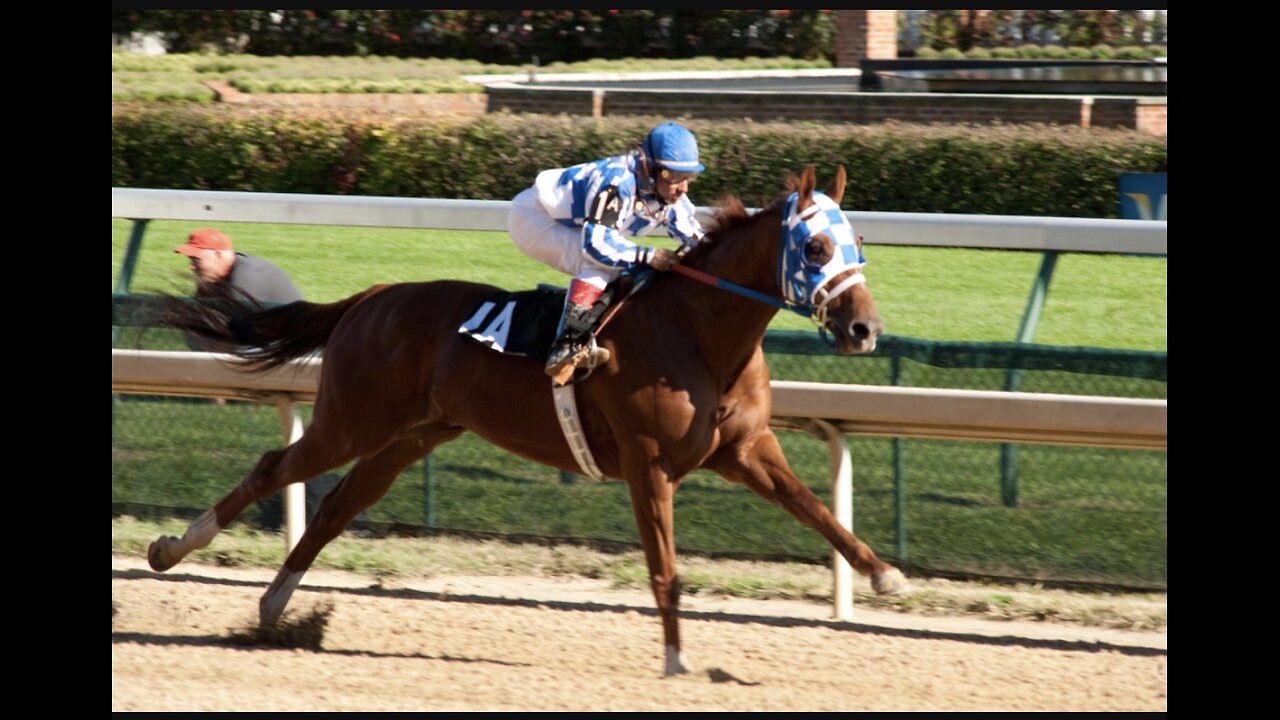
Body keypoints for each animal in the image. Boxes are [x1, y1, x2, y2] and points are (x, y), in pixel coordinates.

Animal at [152, 165, 911, 676]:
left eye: (859, 240)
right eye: (815, 249)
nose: (865, 329)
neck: (698, 332)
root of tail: (372, 297)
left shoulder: (746, 447)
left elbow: (817, 510)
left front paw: (884, 576)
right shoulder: (647, 462)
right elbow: (665, 569)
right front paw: (675, 661)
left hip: (410, 436)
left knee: (338, 505)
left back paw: (274, 608)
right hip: (354, 420)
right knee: (273, 470)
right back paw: (173, 549)